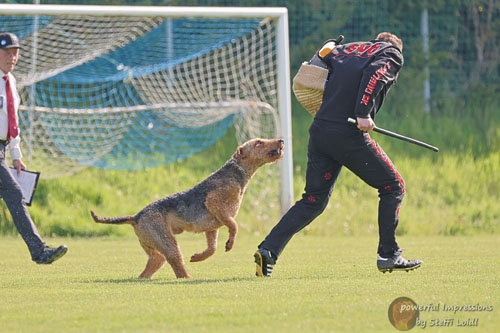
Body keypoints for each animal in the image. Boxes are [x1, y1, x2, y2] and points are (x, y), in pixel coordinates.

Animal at [91, 137, 284, 278]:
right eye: (258, 142)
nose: (281, 140)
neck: (238, 172)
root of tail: (135, 216)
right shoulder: (215, 204)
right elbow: (234, 226)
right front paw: (229, 244)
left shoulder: (213, 226)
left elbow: (212, 248)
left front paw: (198, 257)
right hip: (167, 241)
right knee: (177, 265)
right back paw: (188, 278)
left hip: (154, 245)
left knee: (154, 263)